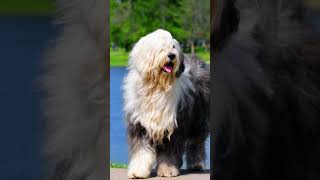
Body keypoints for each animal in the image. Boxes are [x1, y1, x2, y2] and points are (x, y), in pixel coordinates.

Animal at [122, 29, 210, 179]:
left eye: (173, 46)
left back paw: (197, 164)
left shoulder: (173, 126)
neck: (157, 87)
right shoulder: (140, 125)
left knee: (196, 143)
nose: (171, 56)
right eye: (160, 47)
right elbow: (141, 151)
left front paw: (168, 170)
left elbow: (169, 152)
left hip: (199, 119)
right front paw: (138, 171)